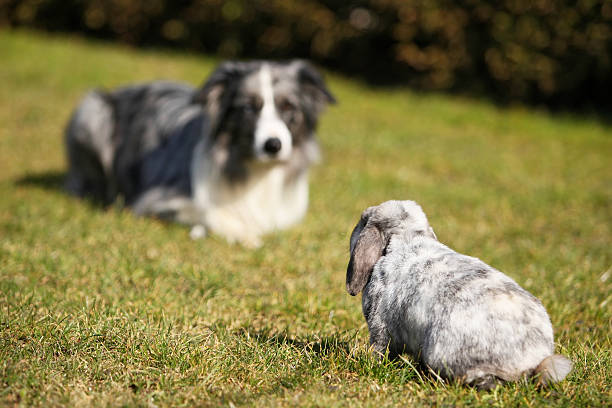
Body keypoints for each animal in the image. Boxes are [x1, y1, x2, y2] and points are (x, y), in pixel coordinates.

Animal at [64, 60, 338, 245]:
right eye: (248, 108)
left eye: (289, 107)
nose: (273, 145)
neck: (256, 172)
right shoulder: (155, 198)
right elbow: (207, 211)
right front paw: (244, 233)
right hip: (93, 112)